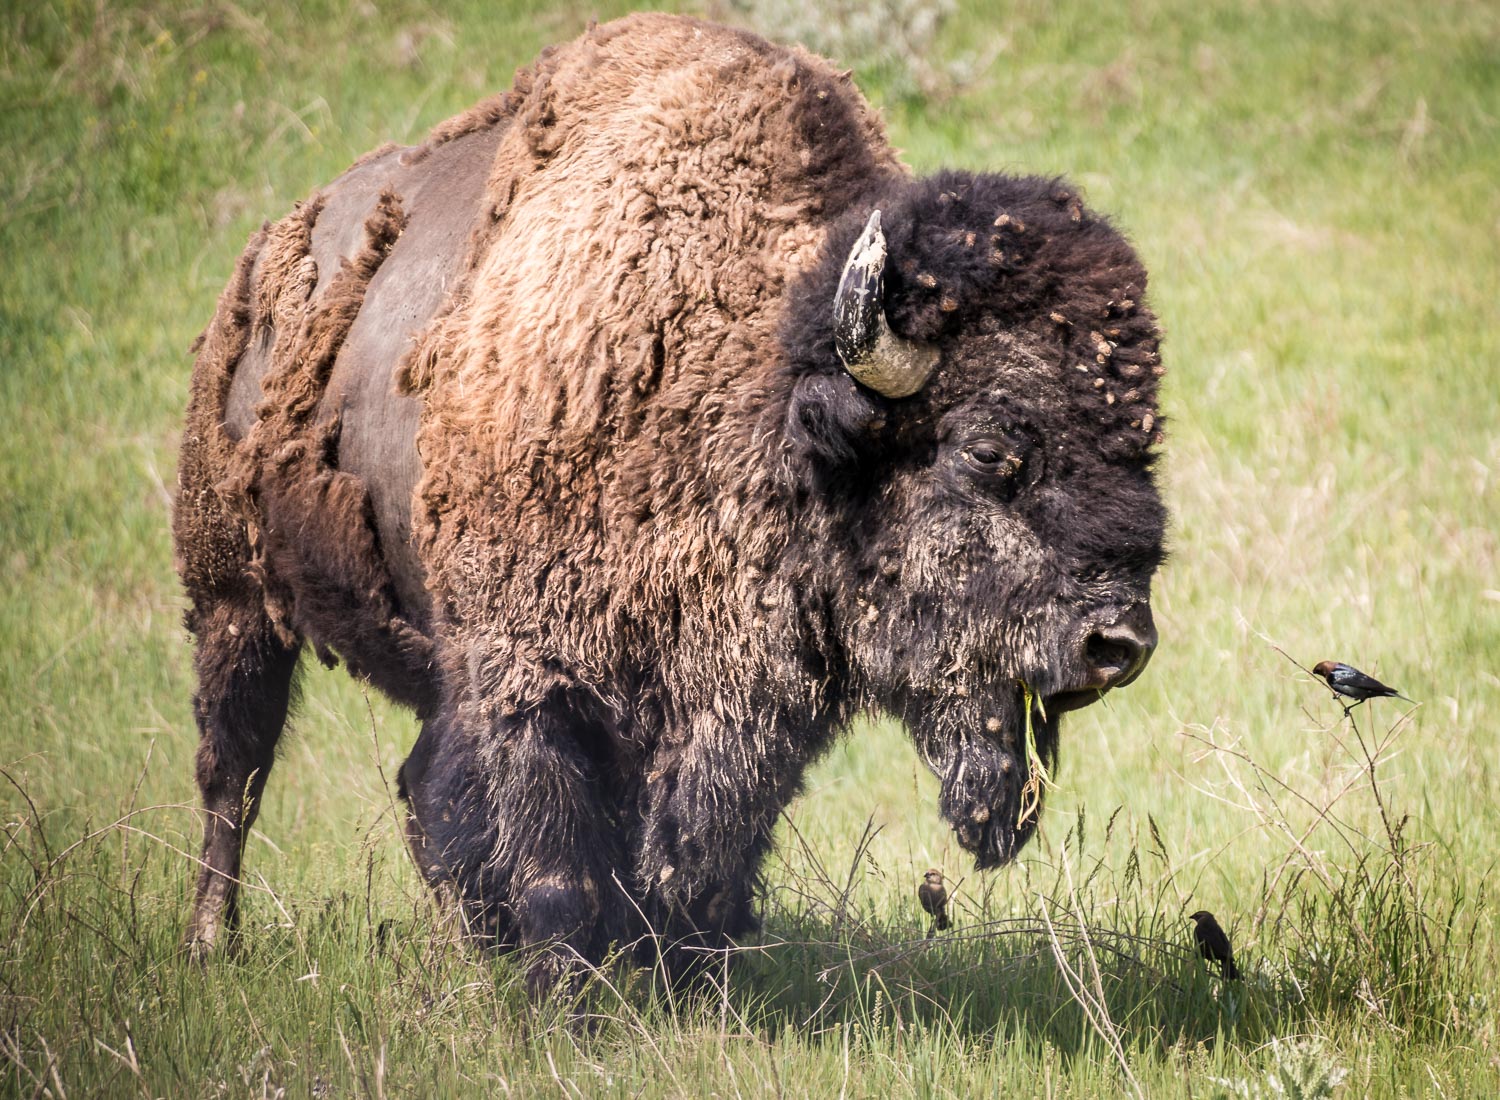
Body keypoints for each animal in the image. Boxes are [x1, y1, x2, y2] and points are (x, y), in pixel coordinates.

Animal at [172, 10, 1158, 984]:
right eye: (989, 451)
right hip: (229, 593)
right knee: (235, 766)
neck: (743, 387)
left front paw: (686, 983)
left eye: (1143, 444)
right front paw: (569, 997)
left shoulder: (747, 708)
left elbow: (703, 867)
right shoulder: (533, 679)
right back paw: (211, 942)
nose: (1119, 644)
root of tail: (264, 258)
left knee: (414, 784)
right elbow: (558, 868)